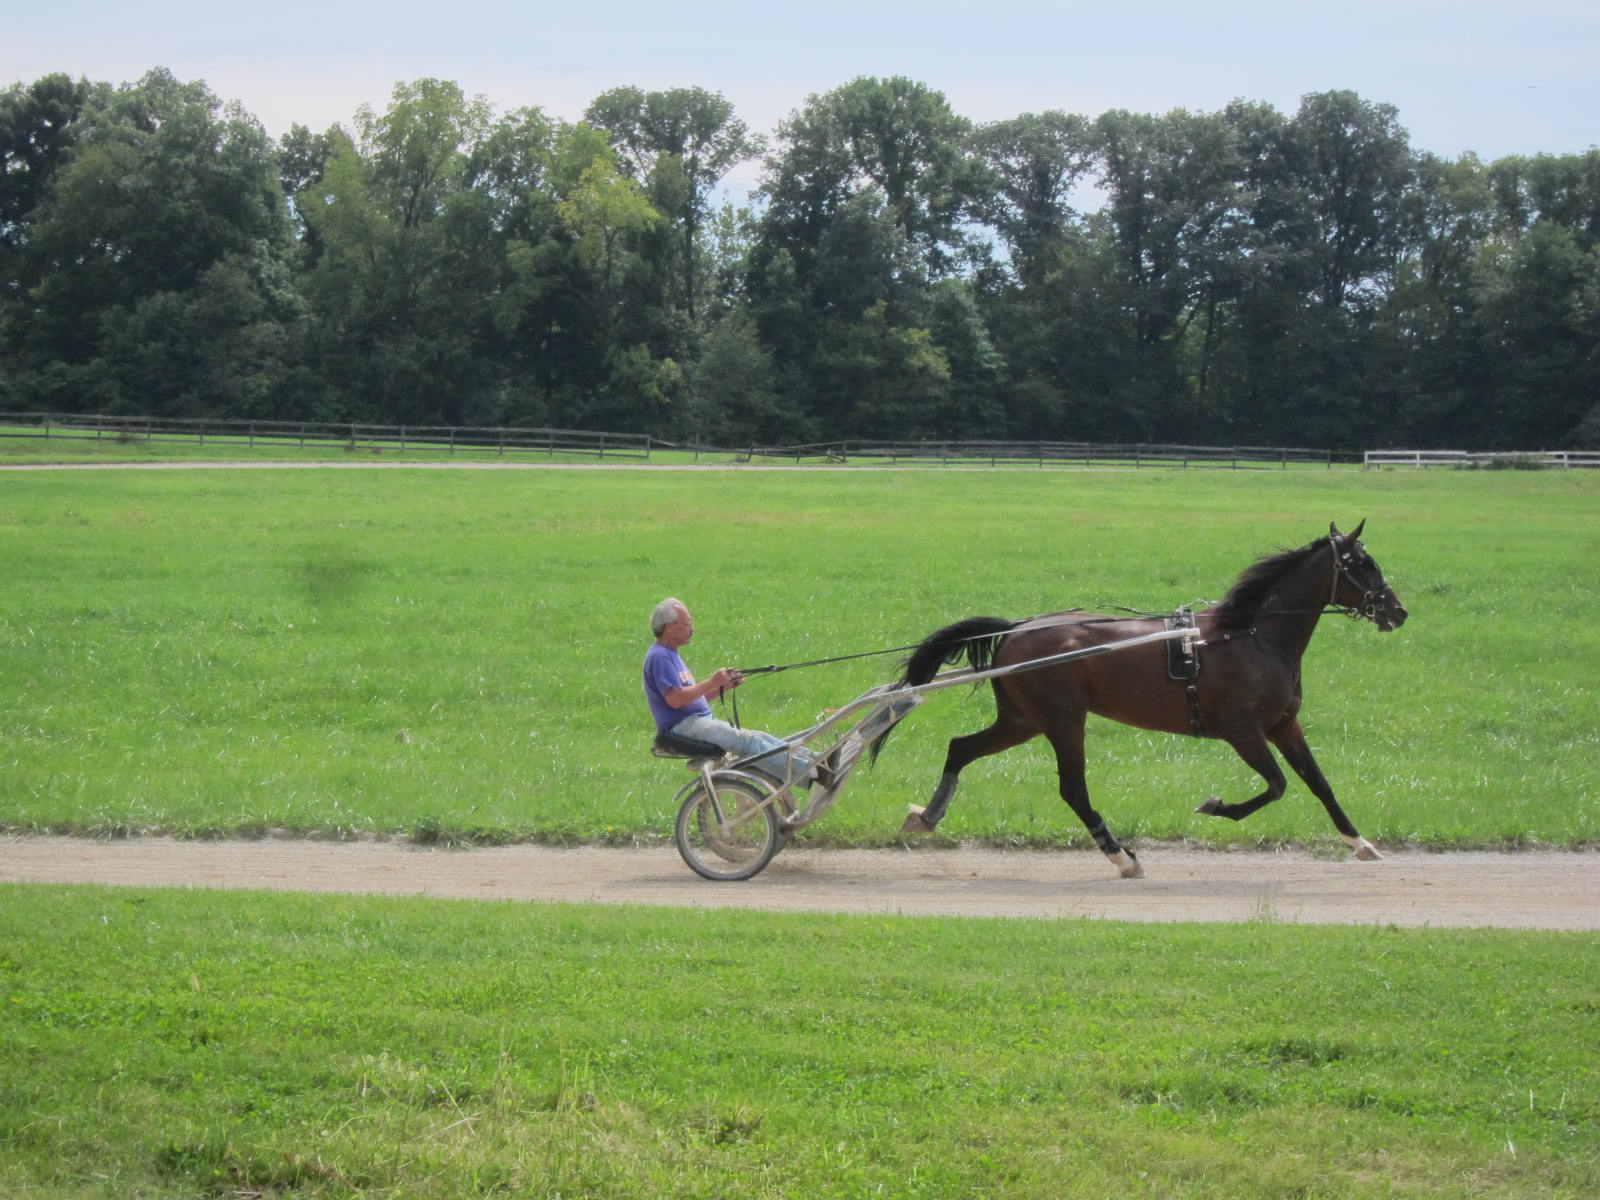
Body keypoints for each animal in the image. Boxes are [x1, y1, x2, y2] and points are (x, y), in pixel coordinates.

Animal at [876, 521, 1414, 876]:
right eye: (1363, 565)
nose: (1398, 611)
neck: (1252, 635)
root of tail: (1016, 628)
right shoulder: (1241, 730)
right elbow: (1278, 785)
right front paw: (1215, 806)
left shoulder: (1284, 725)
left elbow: (1319, 784)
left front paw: (1361, 842)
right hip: (1062, 718)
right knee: (1072, 789)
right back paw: (1121, 855)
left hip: (1023, 719)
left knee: (961, 748)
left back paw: (927, 815)